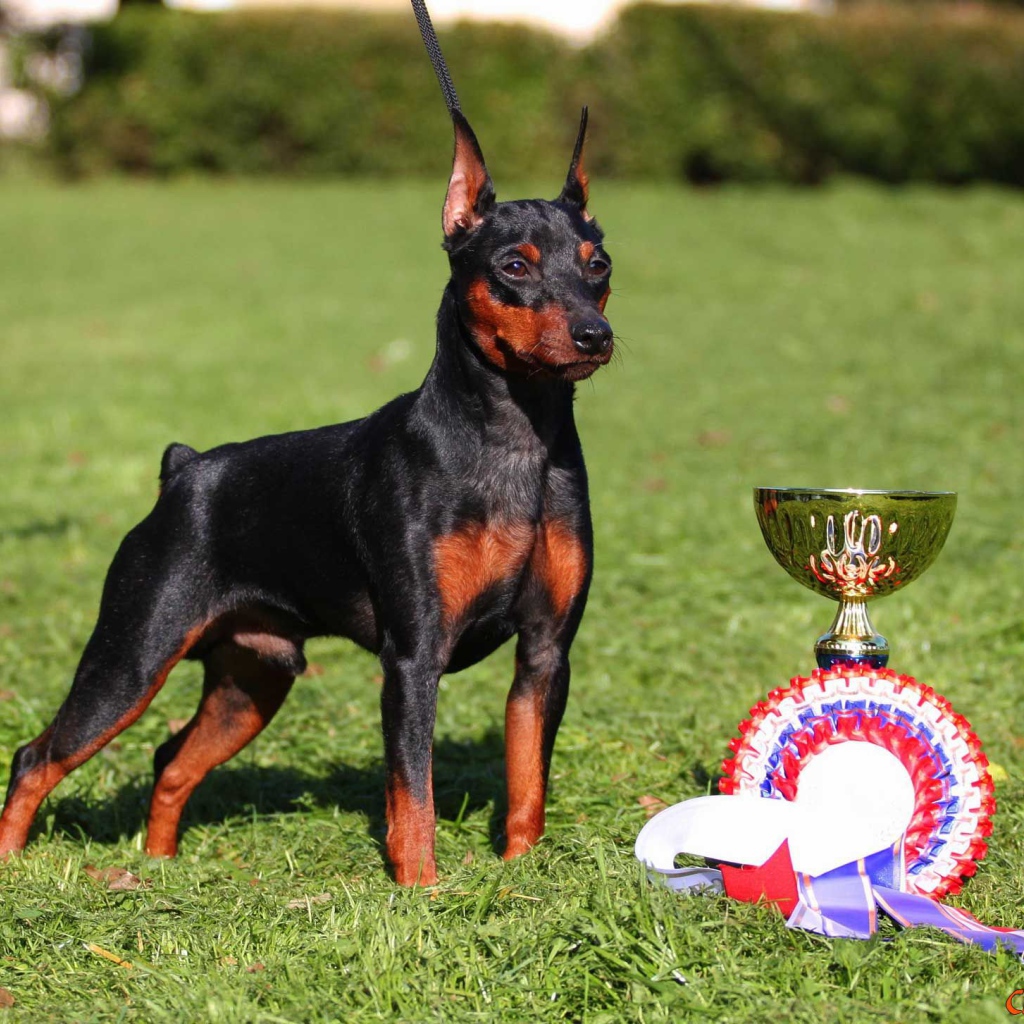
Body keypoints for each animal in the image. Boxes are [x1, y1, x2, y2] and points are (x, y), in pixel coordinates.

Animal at [0, 108, 610, 884]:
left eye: (599, 266)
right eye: (514, 266)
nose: (596, 335)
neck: (513, 443)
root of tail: (184, 473)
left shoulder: (545, 654)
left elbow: (527, 780)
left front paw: (517, 875)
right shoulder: (413, 659)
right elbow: (413, 796)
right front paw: (423, 891)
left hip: (254, 679)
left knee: (171, 761)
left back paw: (161, 868)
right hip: (131, 659)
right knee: (36, 757)